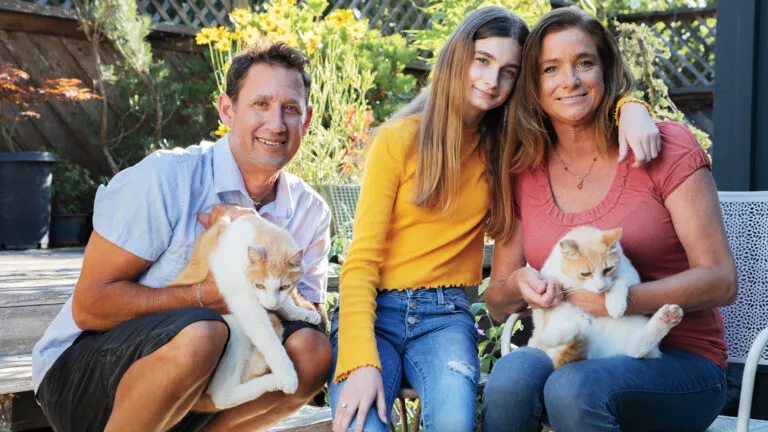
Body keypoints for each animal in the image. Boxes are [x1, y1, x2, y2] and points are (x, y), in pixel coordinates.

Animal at [171, 211, 320, 410]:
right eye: (259, 285)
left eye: (284, 286)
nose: (271, 306)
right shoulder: (245, 303)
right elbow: (269, 341)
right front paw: (287, 374)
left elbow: (285, 303)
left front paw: (301, 312)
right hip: (234, 332)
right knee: (223, 396)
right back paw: (274, 379)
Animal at [510, 226, 684, 368]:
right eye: (585, 273)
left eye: (608, 269)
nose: (600, 287)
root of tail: (595, 354)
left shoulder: (629, 273)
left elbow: (618, 282)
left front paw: (615, 305)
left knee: (635, 350)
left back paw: (667, 317)